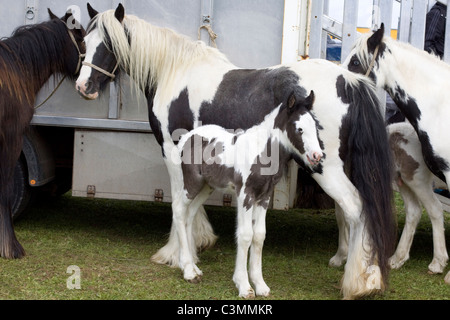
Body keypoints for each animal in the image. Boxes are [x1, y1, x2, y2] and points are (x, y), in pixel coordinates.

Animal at [171, 90, 322, 298]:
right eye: (299, 129)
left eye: (315, 126)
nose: (317, 156)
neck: (261, 151)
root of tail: (185, 138)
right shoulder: (245, 195)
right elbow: (245, 235)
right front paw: (243, 285)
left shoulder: (264, 196)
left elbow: (259, 235)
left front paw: (260, 285)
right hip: (190, 184)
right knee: (178, 211)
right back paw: (188, 271)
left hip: (206, 187)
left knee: (190, 215)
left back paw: (194, 267)